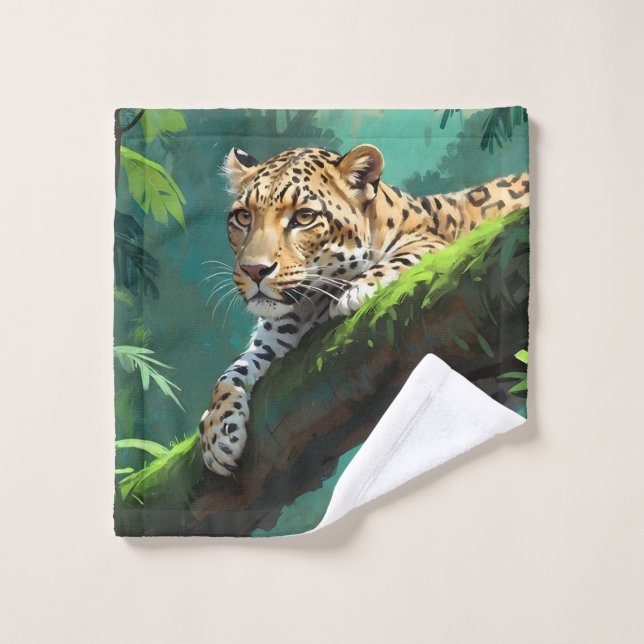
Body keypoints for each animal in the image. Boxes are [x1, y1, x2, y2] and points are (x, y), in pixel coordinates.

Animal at [199, 144, 529, 476]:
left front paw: (355, 291)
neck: (307, 306)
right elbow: (230, 374)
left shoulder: (436, 245)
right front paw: (217, 433)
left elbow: (404, 256)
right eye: (244, 216)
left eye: (304, 217)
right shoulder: (272, 341)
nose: (254, 270)